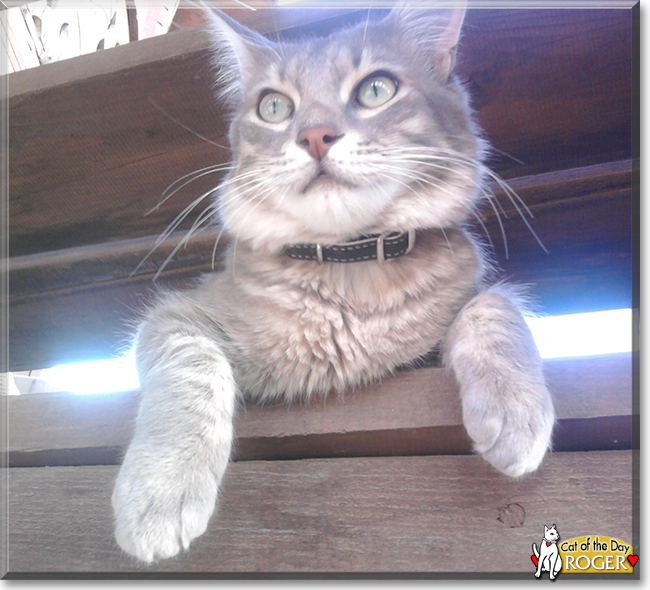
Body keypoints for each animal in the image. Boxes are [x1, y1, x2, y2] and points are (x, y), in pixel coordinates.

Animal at [110, 2, 552, 564]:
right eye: (274, 106)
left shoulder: (459, 310)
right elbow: (191, 371)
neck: (348, 274)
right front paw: (162, 486)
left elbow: (494, 305)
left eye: (377, 89)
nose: (315, 135)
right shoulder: (177, 316)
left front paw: (515, 408)